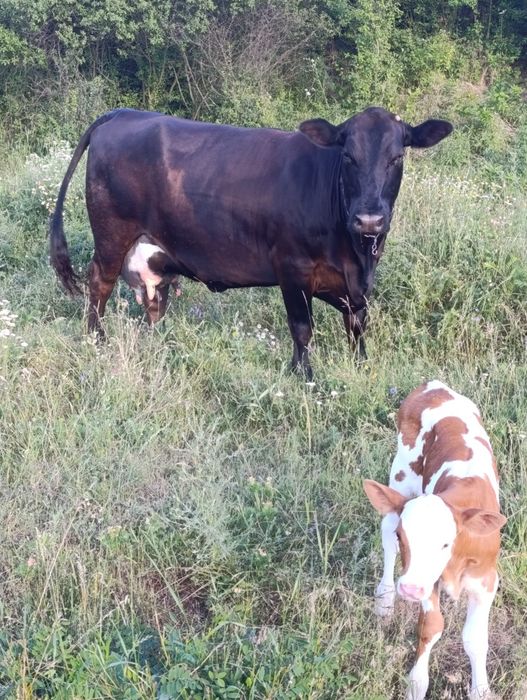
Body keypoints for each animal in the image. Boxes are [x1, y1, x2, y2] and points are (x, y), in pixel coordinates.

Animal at [50, 107, 452, 377]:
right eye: (348, 156)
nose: (369, 219)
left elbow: (357, 327)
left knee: (154, 301)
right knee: (99, 285)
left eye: (396, 157)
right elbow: (302, 328)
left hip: (153, 254)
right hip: (112, 237)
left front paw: (360, 366)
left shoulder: (355, 287)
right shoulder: (292, 268)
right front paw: (303, 375)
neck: (355, 255)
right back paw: (97, 340)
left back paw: (161, 342)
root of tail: (124, 113)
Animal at [364, 380, 507, 700]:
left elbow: (474, 638)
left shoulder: (486, 580)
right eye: (403, 536)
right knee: (386, 541)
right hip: (400, 480)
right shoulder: (426, 579)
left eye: (445, 543)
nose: (410, 589)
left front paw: (480, 689)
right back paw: (385, 600)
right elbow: (431, 626)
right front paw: (416, 685)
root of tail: (435, 386)